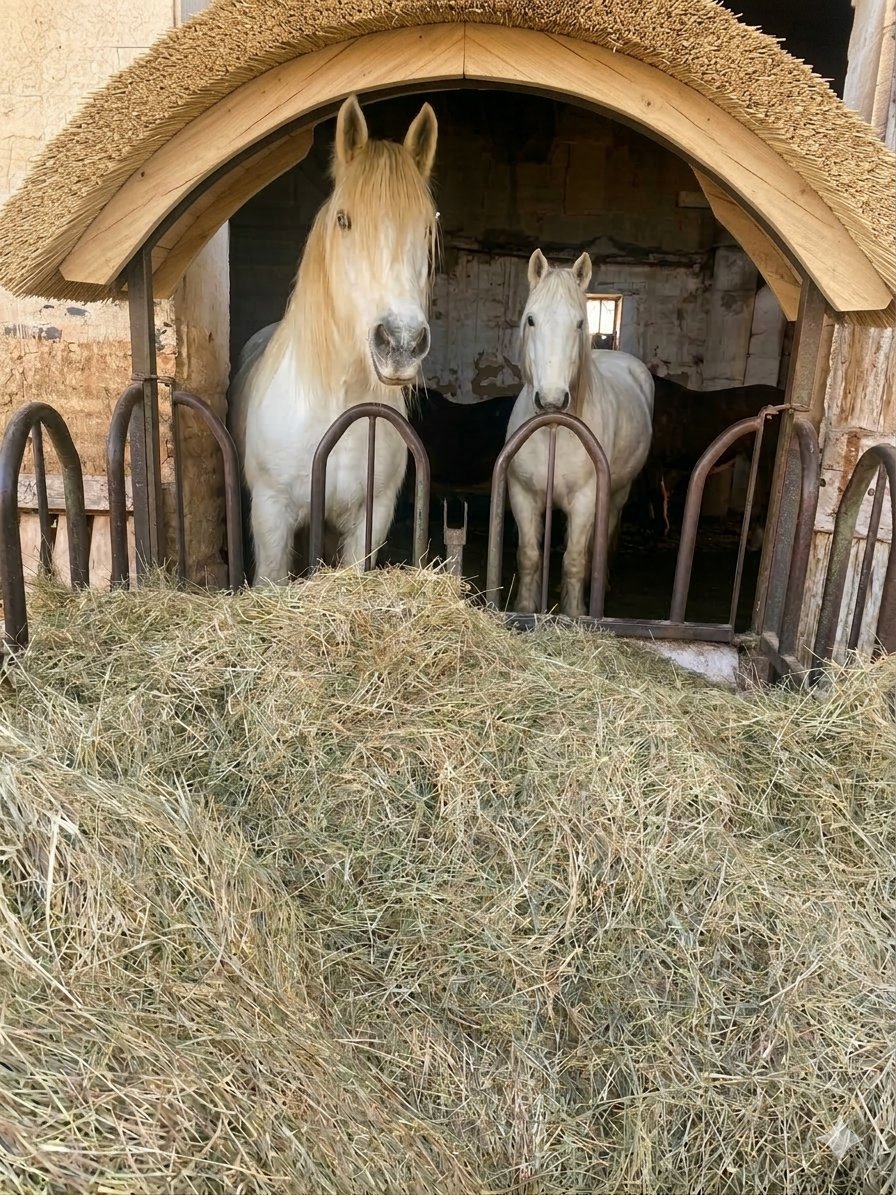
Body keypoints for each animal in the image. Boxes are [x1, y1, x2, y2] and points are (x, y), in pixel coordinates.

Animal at [227, 94, 439, 584]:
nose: (401, 342)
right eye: (344, 220)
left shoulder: (371, 517)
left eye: (426, 226)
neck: (338, 402)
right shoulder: (271, 515)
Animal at [505, 249, 655, 618]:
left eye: (579, 323)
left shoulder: (586, 499)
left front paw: (575, 612)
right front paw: (524, 608)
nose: (552, 400)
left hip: (617, 493)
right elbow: (529, 555)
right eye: (531, 319)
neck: (554, 432)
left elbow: (574, 559)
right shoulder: (522, 494)